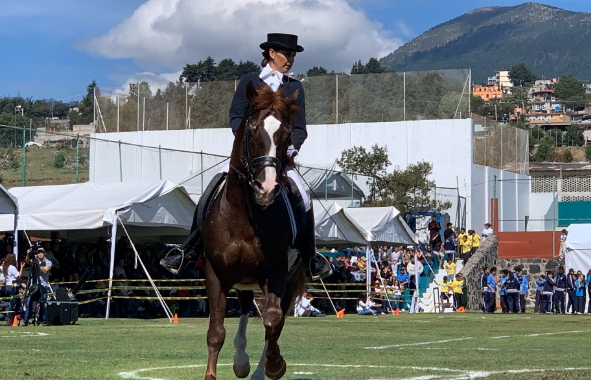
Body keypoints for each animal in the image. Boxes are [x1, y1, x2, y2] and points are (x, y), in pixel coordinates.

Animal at [202, 81, 308, 378]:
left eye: (287, 134)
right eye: (251, 129)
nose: (267, 187)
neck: (244, 217)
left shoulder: (277, 272)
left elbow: (272, 320)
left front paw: (275, 365)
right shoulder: (215, 273)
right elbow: (216, 332)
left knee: (274, 320)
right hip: (243, 280)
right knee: (246, 308)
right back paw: (240, 361)